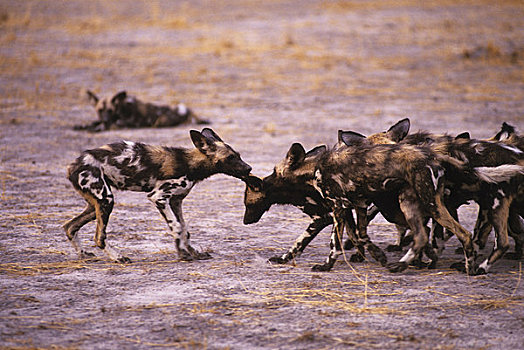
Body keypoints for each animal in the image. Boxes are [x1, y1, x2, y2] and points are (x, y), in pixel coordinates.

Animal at [63, 128, 252, 262]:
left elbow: (185, 229)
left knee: (69, 227)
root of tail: (73, 165)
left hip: (96, 205)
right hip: (106, 200)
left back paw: (83, 254)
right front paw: (183, 254)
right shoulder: (158, 197)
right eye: (231, 158)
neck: (191, 164)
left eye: (238, 155)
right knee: (99, 237)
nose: (249, 168)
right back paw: (118, 257)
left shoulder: (176, 201)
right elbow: (176, 226)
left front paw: (193, 252)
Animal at [74, 90, 210, 133]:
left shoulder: (120, 123)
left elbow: (105, 125)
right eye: (100, 111)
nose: (106, 119)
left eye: (110, 110)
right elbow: (94, 122)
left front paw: (96, 128)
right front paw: (82, 125)